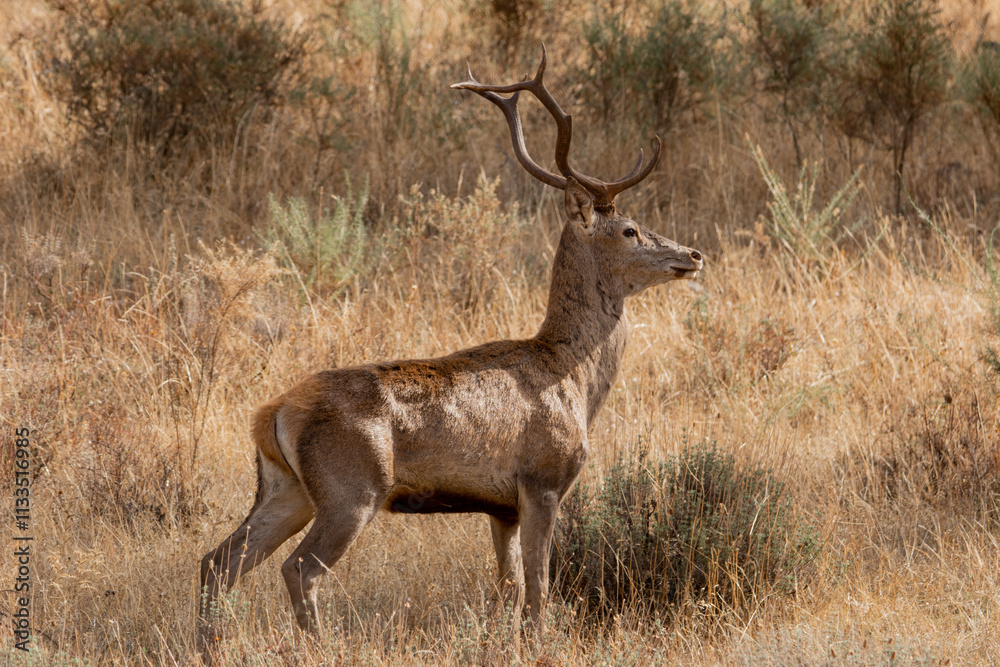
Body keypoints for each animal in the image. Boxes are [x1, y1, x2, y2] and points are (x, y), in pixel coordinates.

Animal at [197, 47, 703, 652]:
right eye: (630, 229)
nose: (693, 254)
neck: (573, 380)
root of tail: (271, 413)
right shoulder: (543, 479)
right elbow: (539, 589)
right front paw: (540, 646)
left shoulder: (501, 507)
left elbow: (509, 587)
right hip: (351, 488)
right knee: (298, 568)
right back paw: (317, 646)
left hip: (284, 487)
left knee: (217, 560)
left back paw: (207, 645)